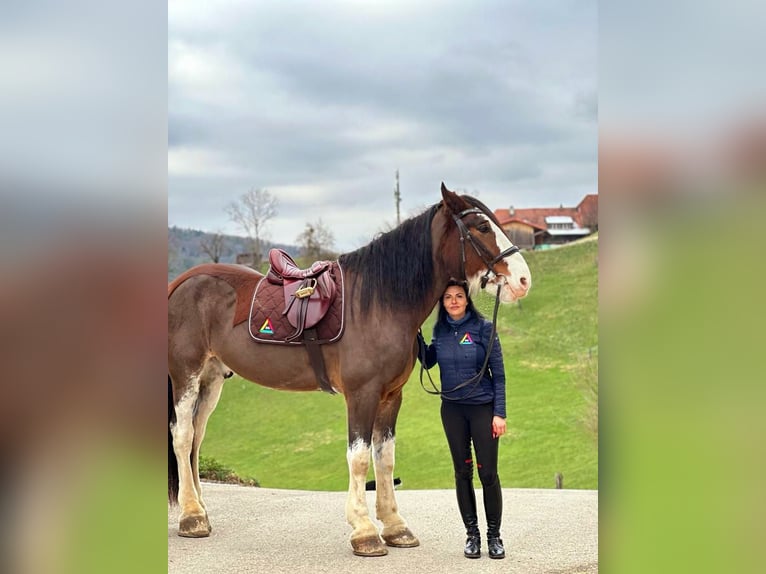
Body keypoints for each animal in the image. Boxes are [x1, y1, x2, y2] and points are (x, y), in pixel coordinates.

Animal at [167, 183, 532, 556]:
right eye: (483, 227)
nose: (522, 279)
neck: (379, 303)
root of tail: (181, 284)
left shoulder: (390, 397)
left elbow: (385, 458)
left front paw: (396, 527)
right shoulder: (362, 394)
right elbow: (358, 458)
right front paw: (365, 531)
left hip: (211, 381)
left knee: (197, 436)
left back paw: (200, 510)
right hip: (186, 376)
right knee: (182, 436)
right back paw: (191, 517)